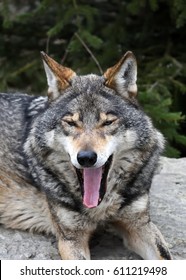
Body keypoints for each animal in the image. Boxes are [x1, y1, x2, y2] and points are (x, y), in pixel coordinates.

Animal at [0, 51, 172, 260]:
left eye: (107, 122)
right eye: (71, 123)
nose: (86, 158)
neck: (100, 208)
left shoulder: (140, 225)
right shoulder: (71, 238)